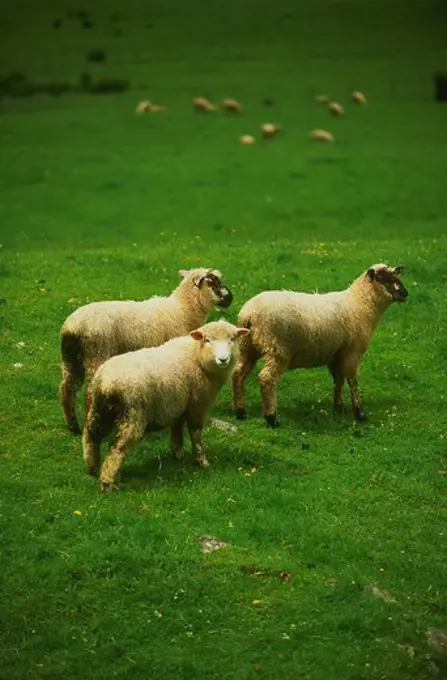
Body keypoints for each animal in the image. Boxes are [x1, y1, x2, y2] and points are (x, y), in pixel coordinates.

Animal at [59, 266, 233, 432]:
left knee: (67, 389)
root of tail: (73, 327)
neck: (183, 310)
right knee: (88, 393)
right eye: (213, 282)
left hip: (71, 360)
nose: (230, 298)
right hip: (96, 355)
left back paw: (72, 426)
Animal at [82, 318, 250, 488]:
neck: (197, 356)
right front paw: (202, 462)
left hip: (100, 410)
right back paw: (108, 483)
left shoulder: (178, 406)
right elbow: (196, 434)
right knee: (118, 448)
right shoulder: (196, 405)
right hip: (131, 415)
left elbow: (176, 431)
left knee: (91, 435)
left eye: (232, 339)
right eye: (207, 340)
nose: (223, 359)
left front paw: (177, 455)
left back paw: (92, 468)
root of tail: (106, 382)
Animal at [233, 264, 408, 428]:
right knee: (266, 378)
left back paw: (240, 411)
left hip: (247, 347)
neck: (359, 305)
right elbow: (352, 381)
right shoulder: (352, 352)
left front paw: (338, 408)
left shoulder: (336, 354)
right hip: (277, 349)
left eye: (395, 276)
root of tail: (249, 313)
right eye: (383, 279)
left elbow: (338, 380)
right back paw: (271, 418)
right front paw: (359, 413)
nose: (405, 293)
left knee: (238, 373)